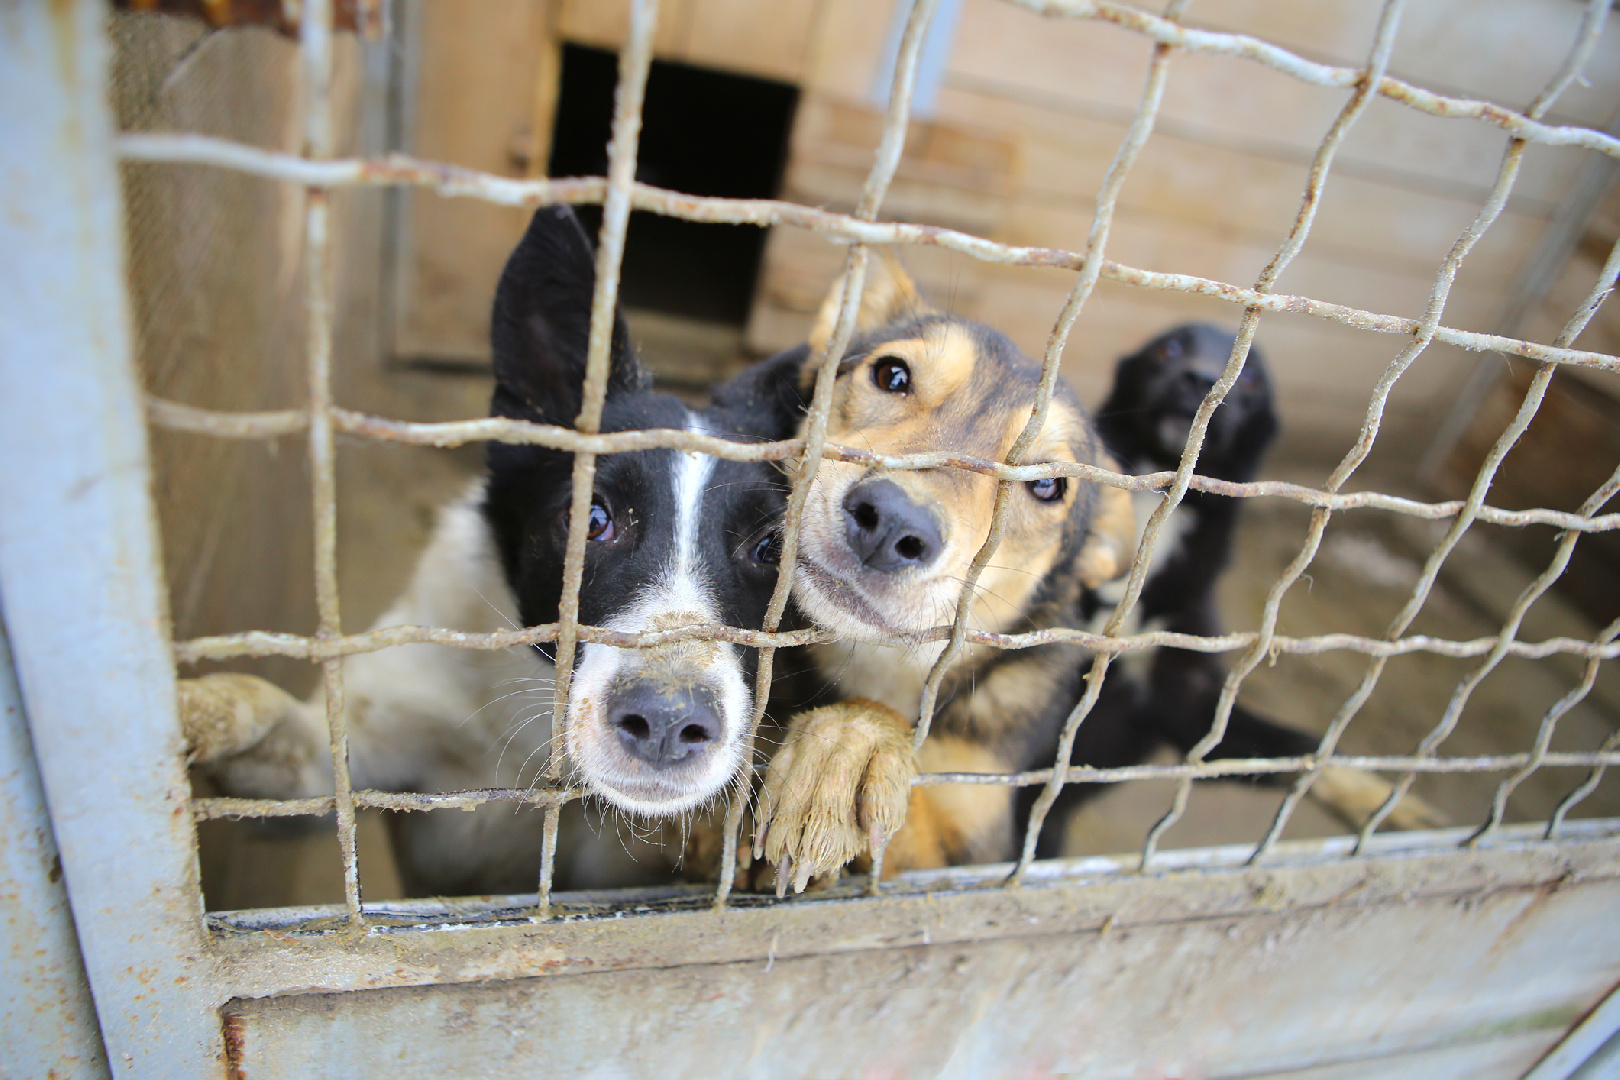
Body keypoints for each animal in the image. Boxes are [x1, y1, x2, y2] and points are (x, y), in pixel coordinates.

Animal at [183, 204, 790, 893]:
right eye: (590, 519)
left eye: (772, 548)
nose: (666, 721)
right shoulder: (339, 764)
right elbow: (287, 741)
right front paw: (201, 706)